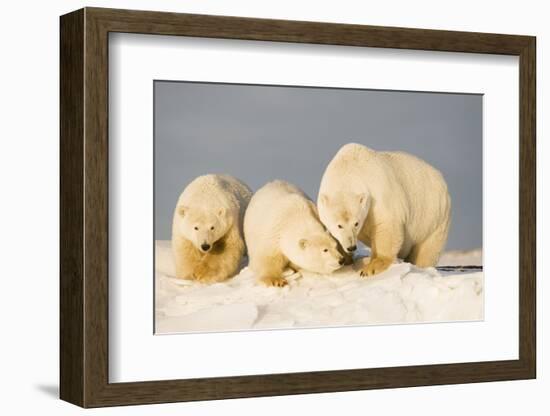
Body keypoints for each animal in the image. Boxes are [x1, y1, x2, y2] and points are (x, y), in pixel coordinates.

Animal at [320, 143, 452, 276]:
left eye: (356, 223)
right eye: (339, 225)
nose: (351, 247)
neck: (348, 169)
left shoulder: (378, 194)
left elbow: (387, 226)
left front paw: (371, 267)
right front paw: (344, 258)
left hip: (432, 217)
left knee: (426, 251)